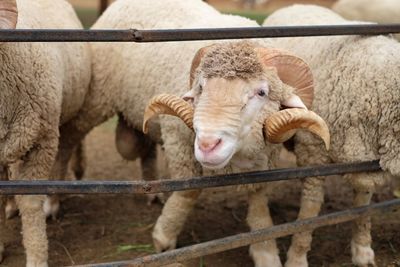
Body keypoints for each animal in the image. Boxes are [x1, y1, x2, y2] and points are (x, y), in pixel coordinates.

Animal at [0, 1, 91, 266]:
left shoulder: (41, 143)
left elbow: (31, 203)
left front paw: (37, 258)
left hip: (62, 118)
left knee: (64, 155)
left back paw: (53, 203)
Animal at [50, 1, 328, 266]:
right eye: (201, 87)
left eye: (261, 92)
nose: (207, 144)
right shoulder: (177, 137)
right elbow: (188, 189)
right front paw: (164, 237)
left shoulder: (264, 158)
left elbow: (259, 199)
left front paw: (265, 252)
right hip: (96, 96)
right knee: (68, 139)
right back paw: (52, 200)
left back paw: (152, 189)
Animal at [262, 4, 400, 267]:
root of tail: (295, 5)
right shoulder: (313, 150)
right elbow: (311, 207)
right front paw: (297, 256)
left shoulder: (367, 157)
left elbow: (362, 204)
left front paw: (362, 250)